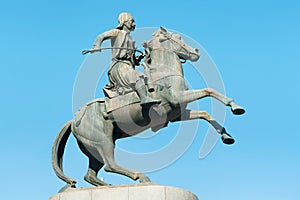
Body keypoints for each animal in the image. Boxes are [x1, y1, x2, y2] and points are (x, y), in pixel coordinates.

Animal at [51, 26, 244, 191]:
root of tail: (74, 119)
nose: (196, 52)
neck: (165, 73)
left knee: (91, 174)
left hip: (93, 148)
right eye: (178, 38)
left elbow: (205, 114)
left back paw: (108, 186)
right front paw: (236, 106)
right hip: (103, 141)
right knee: (109, 165)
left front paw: (226, 136)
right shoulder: (178, 98)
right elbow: (209, 90)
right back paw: (140, 177)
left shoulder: (176, 114)